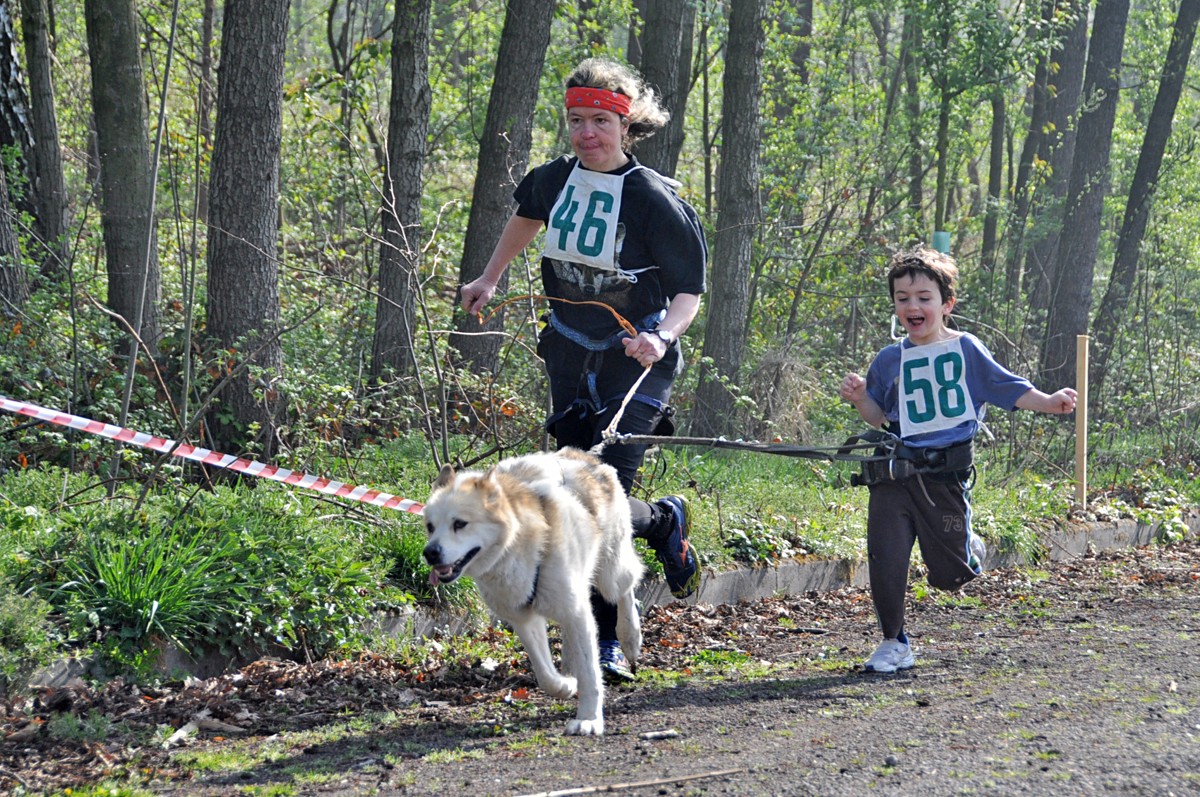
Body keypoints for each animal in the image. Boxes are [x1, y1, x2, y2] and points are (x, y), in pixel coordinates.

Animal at [424, 448, 648, 734]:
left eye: (460, 524)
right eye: (430, 527)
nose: (429, 553)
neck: (515, 546)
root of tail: (584, 456)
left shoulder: (576, 610)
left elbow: (591, 675)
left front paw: (589, 719)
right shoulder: (523, 618)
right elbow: (544, 674)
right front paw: (565, 685)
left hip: (610, 573)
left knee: (626, 587)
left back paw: (630, 637)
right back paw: (571, 664)